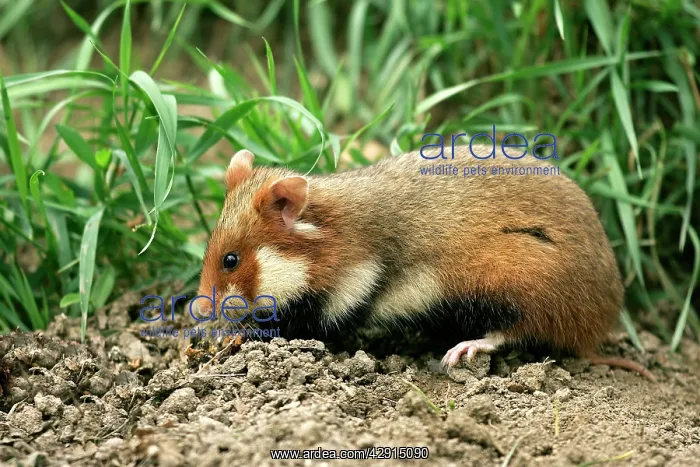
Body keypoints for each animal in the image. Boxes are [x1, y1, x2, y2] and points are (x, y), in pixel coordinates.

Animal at [194, 145, 655, 381]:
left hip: (516, 282)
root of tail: (594, 331)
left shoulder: (339, 301)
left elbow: (288, 328)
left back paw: (460, 352)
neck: (324, 242)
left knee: (510, 332)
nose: (195, 311)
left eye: (231, 260)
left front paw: (226, 341)